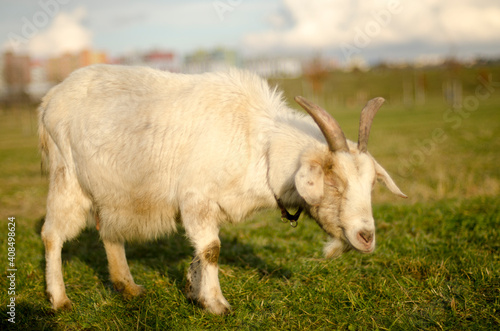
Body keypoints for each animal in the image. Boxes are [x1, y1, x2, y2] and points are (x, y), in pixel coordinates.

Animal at [39, 64, 406, 314]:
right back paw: (59, 299)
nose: (366, 237)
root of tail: (48, 100)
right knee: (52, 234)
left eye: (371, 183)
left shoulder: (207, 205)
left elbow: (200, 249)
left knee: (109, 232)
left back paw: (127, 287)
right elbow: (212, 249)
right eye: (333, 181)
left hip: (111, 190)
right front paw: (216, 303)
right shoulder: (196, 197)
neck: (258, 146)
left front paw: (194, 291)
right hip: (66, 176)